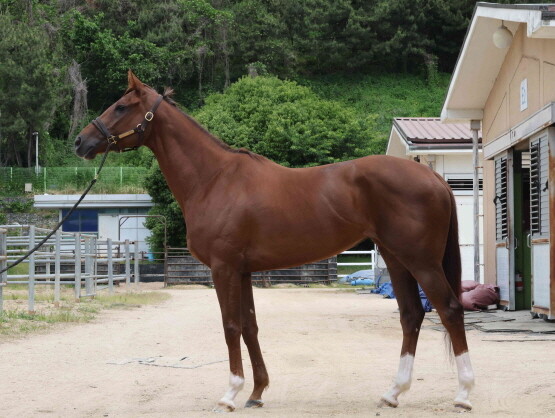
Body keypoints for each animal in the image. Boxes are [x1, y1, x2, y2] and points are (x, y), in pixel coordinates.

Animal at [74, 72, 476, 412]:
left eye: (121, 106)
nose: (81, 141)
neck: (214, 179)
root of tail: (432, 176)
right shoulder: (243, 271)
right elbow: (250, 327)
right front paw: (256, 391)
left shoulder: (223, 269)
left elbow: (230, 326)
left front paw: (231, 394)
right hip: (395, 257)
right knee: (411, 314)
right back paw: (393, 392)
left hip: (421, 260)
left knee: (449, 309)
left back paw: (463, 394)